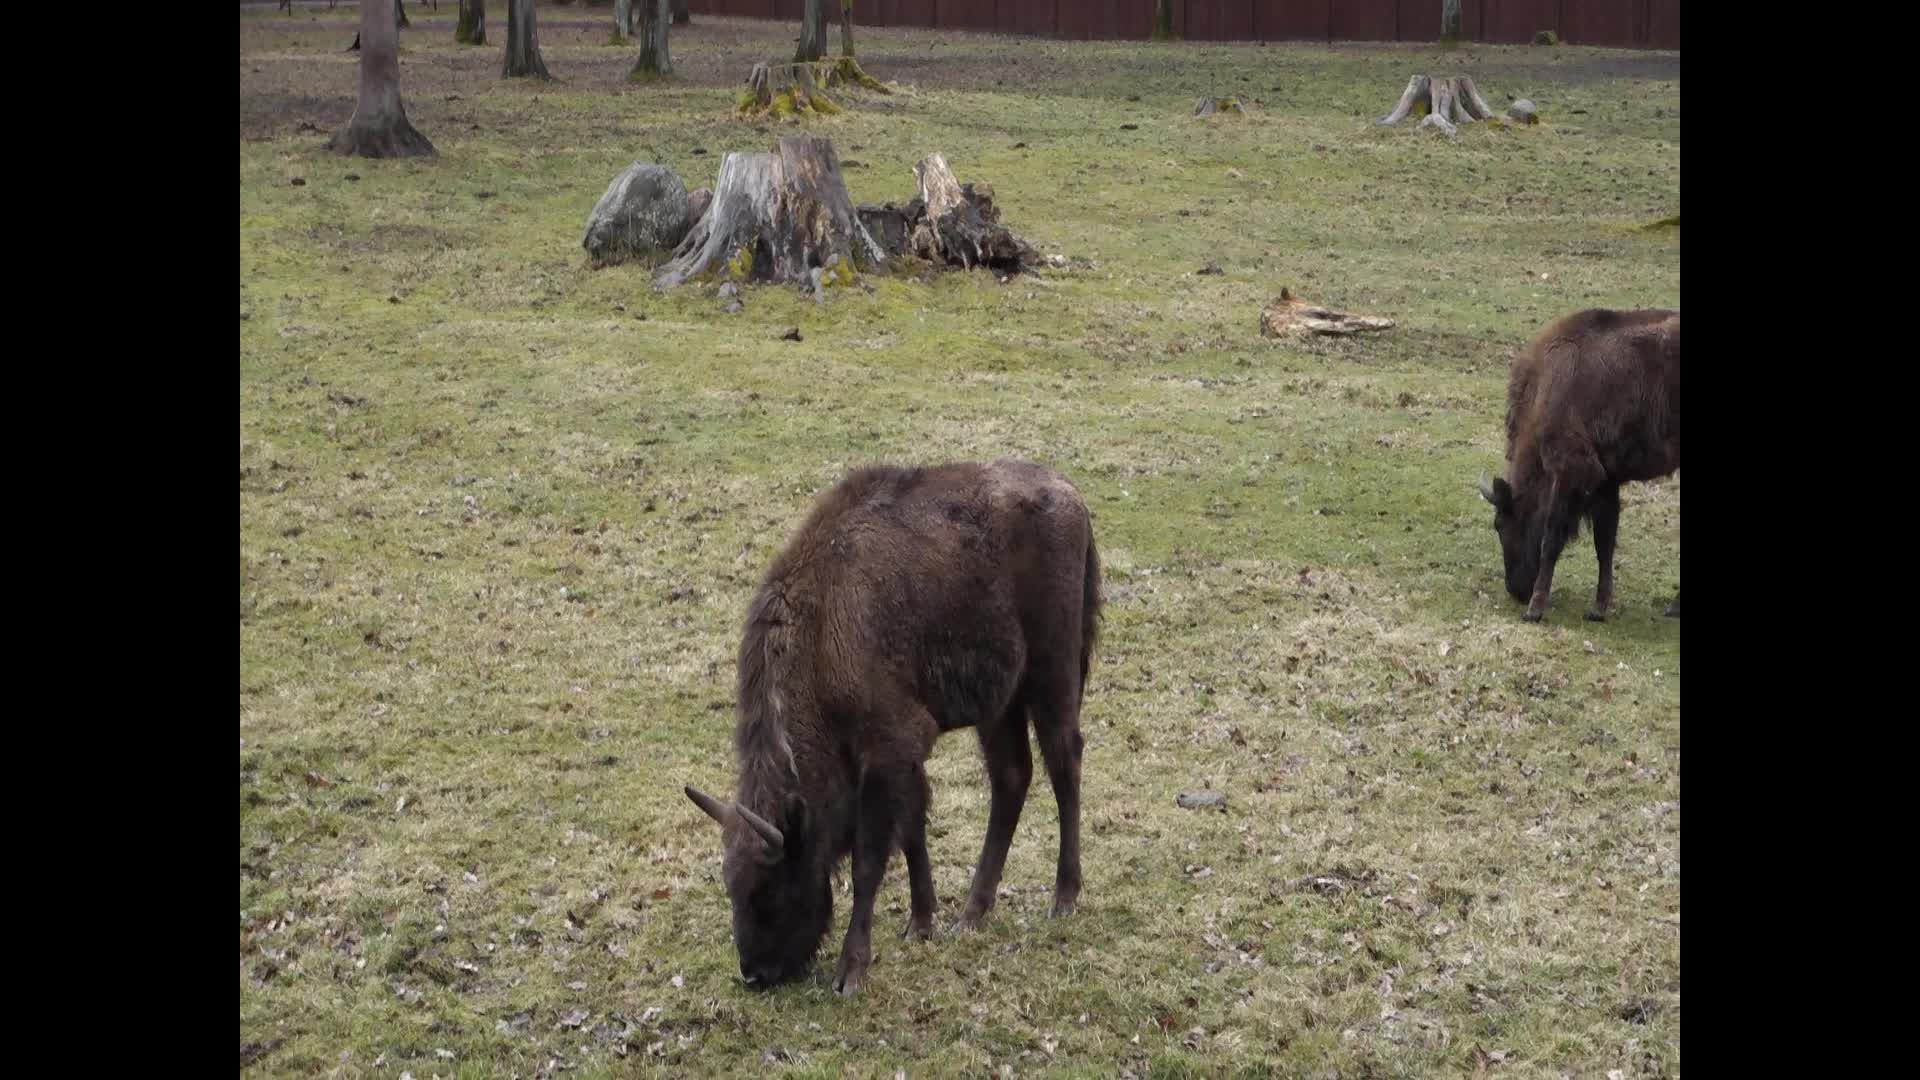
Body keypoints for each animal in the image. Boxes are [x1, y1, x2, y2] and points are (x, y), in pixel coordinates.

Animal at [685, 459, 1102, 995]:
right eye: (731, 886)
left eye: (771, 888)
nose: (755, 973)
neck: (821, 631)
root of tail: (1070, 495)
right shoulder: (903, 755)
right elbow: (912, 830)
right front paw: (921, 923)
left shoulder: (889, 748)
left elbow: (871, 860)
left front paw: (851, 971)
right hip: (999, 704)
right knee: (1012, 777)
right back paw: (972, 912)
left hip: (1053, 675)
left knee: (1065, 762)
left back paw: (1063, 897)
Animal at [1480, 308, 1680, 622]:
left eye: (1499, 524)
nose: (1516, 590)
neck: (1546, 388)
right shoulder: (1607, 482)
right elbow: (1604, 544)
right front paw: (1598, 609)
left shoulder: (1570, 471)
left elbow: (1551, 539)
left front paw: (1535, 609)